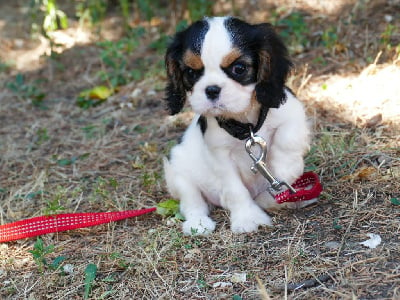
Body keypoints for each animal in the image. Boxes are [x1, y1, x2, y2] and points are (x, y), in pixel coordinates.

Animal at [162, 17, 316, 234]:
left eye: (239, 68)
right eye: (191, 73)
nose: (211, 89)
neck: (247, 126)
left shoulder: (292, 111)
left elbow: (287, 137)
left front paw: (286, 167)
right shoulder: (219, 154)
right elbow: (235, 189)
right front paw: (247, 218)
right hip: (177, 171)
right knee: (192, 202)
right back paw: (198, 224)